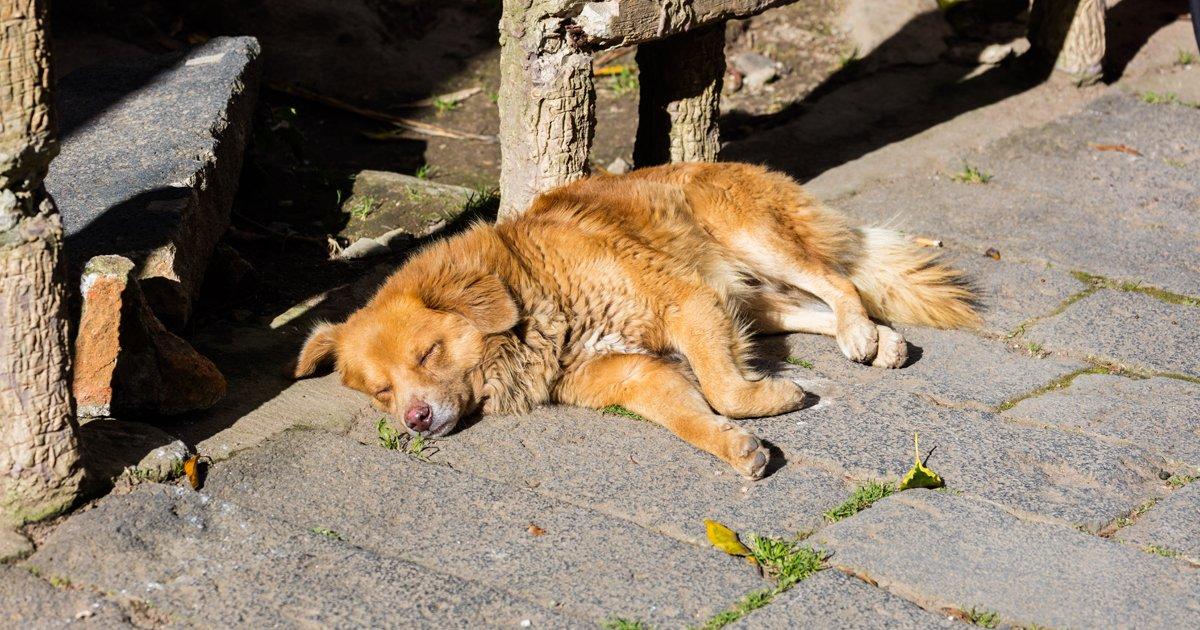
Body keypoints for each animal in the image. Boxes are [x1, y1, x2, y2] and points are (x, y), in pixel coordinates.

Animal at [295, 162, 979, 477]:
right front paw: (735, 446)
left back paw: (862, 333)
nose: (414, 420)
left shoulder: (687, 304)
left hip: (747, 237)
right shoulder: (637, 374)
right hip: (748, 298)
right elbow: (693, 415)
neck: (531, 295)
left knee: (839, 279)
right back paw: (878, 339)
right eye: (380, 392)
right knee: (814, 306)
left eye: (427, 354)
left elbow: (726, 388)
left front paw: (776, 398)